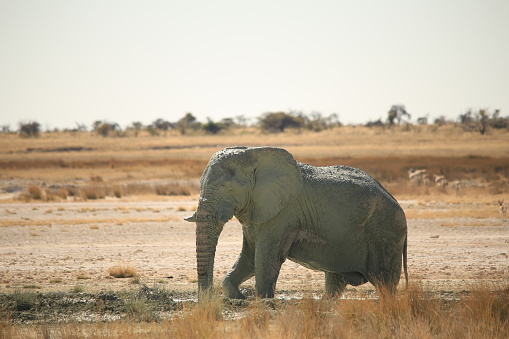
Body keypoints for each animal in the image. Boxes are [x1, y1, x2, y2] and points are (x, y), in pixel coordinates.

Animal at [185, 147, 406, 298]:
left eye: (229, 190)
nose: (206, 301)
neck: (254, 153)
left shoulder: (282, 214)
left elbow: (266, 258)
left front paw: (262, 300)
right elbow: (249, 257)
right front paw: (239, 296)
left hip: (386, 234)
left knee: (385, 284)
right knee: (335, 283)